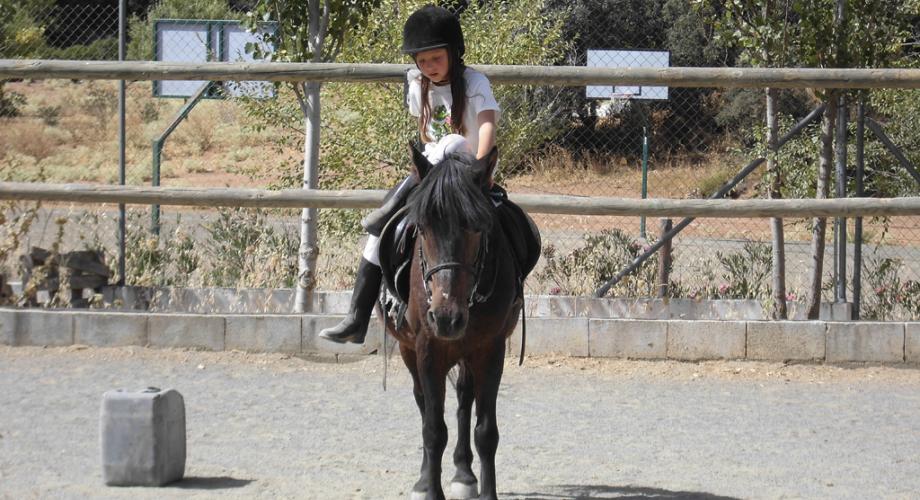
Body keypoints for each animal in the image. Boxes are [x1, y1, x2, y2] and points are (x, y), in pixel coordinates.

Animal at [382, 146, 524, 500]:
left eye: (476, 227)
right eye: (422, 227)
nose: (446, 318)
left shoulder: (490, 350)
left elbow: (485, 431)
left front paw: (486, 491)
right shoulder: (427, 349)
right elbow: (433, 429)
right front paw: (430, 489)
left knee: (463, 398)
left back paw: (464, 474)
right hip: (409, 350)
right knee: (423, 403)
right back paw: (423, 480)